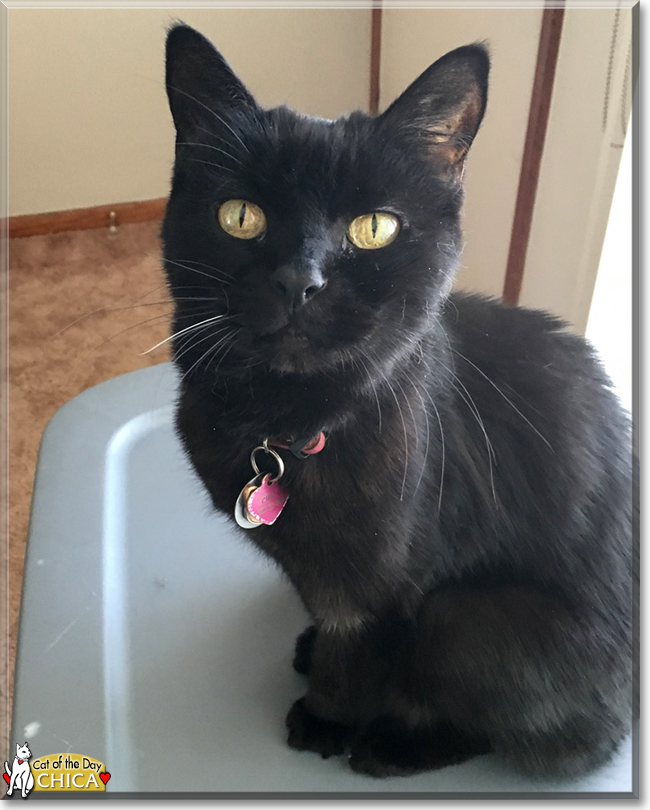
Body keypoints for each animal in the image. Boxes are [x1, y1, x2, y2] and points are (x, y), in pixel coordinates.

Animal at [159, 25, 632, 776]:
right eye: (240, 216)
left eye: (374, 228)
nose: (299, 280)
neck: (286, 426)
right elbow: (330, 622)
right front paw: (314, 652)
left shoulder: (383, 590)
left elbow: (356, 656)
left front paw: (327, 717)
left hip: (464, 620)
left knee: (557, 742)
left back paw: (392, 744)